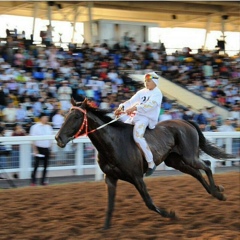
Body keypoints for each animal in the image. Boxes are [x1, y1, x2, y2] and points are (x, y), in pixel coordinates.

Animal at [55, 98, 233, 230]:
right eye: (66, 115)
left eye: (76, 117)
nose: (58, 138)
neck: (113, 142)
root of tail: (187, 123)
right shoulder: (110, 178)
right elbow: (110, 205)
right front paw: (105, 228)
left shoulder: (137, 177)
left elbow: (149, 203)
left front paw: (171, 214)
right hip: (175, 161)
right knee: (197, 173)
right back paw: (214, 191)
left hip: (189, 156)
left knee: (207, 164)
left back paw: (218, 192)